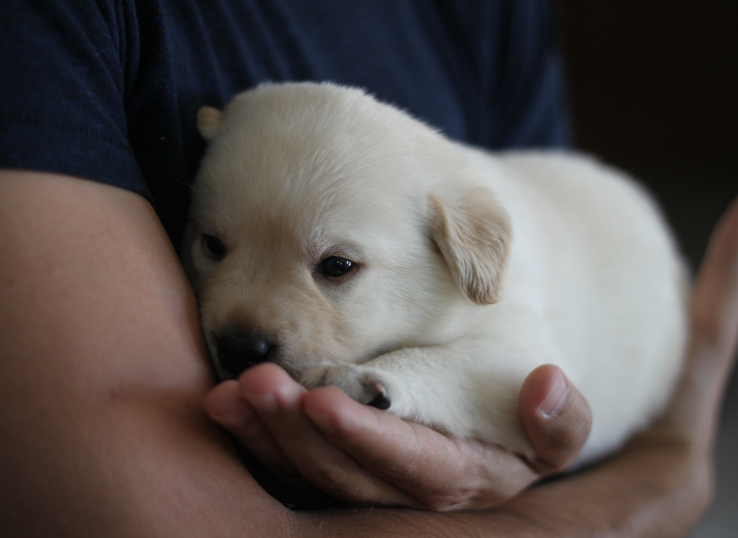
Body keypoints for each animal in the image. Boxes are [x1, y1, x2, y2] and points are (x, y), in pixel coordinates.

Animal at [183, 81, 684, 462]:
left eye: (337, 266)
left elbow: (439, 360)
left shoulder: (523, 358)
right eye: (212, 245)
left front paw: (359, 376)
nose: (239, 348)